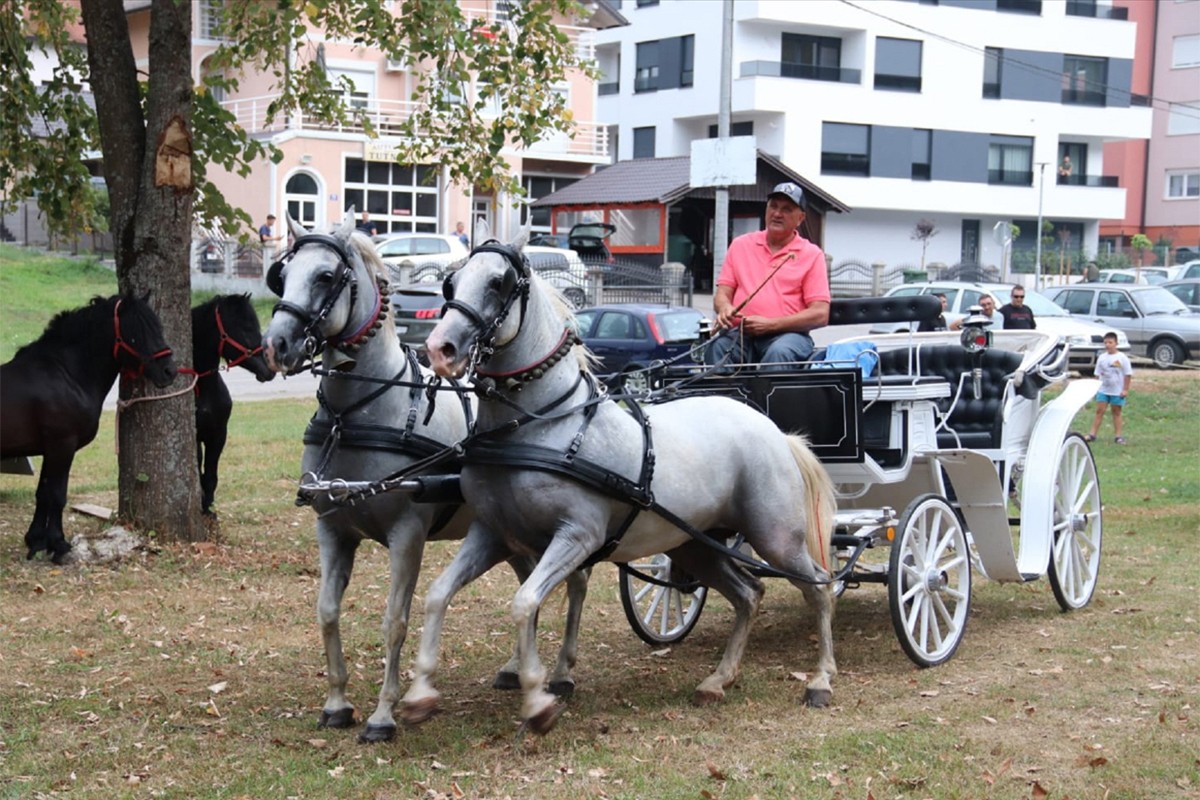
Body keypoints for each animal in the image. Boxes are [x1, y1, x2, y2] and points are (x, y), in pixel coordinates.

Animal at [1, 293, 177, 563]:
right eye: (136, 332)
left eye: (158, 326)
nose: (170, 371)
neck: (66, 374)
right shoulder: (62, 445)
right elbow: (57, 494)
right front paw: (58, 544)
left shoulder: (50, 449)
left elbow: (43, 493)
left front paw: (36, 541)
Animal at [190, 293, 274, 513]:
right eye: (245, 327)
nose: (269, 368)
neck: (202, 386)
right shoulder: (195, 436)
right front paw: (203, 503)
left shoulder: (219, 434)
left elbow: (211, 475)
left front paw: (209, 508)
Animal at [260, 214, 588, 743]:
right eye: (282, 274)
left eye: (326, 276)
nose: (276, 345)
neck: (355, 415)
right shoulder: (331, 528)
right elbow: (327, 611)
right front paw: (337, 702)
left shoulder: (406, 535)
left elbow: (395, 620)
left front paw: (383, 715)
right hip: (513, 533)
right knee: (530, 585)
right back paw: (516, 669)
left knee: (575, 584)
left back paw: (559, 673)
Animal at [403, 227, 835, 734]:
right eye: (450, 283)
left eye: (498, 282)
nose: (439, 349)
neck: (539, 425)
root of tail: (774, 431)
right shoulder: (492, 534)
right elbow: (437, 595)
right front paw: (419, 693)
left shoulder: (577, 536)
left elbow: (525, 602)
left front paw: (539, 698)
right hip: (696, 545)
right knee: (749, 594)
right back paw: (718, 680)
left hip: (777, 538)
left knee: (818, 587)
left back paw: (821, 679)